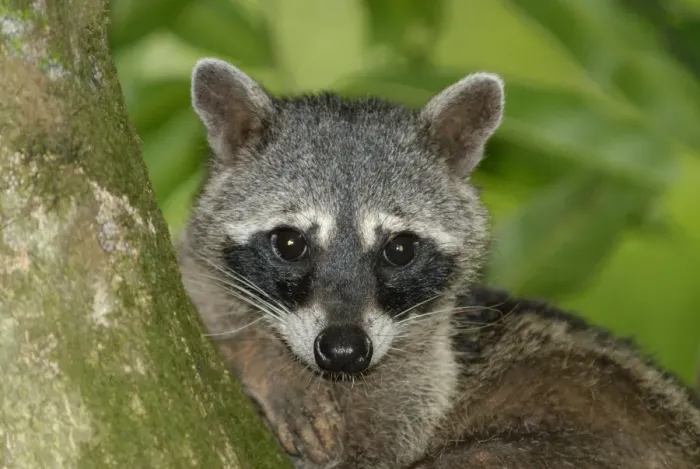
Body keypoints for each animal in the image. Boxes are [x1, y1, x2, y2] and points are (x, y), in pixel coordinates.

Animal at [177, 58, 700, 469]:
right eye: (289, 243)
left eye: (400, 249)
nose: (345, 351)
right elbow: (193, 279)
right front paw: (262, 358)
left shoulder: (423, 377)